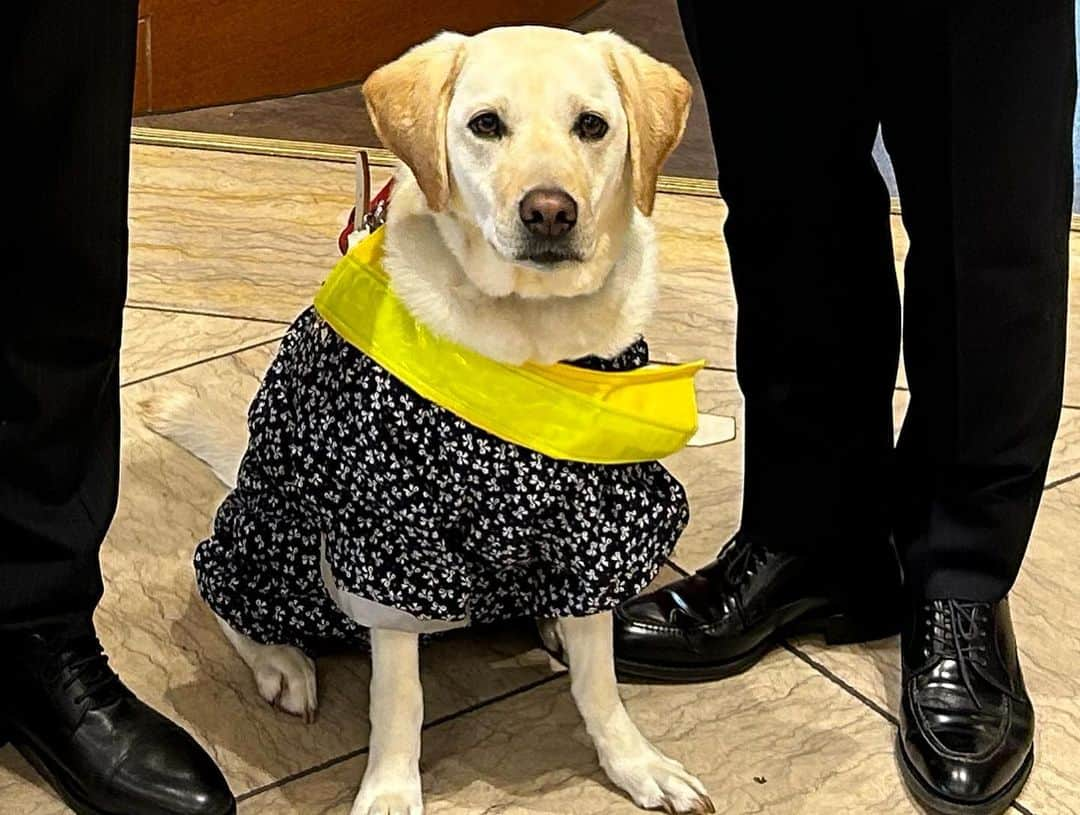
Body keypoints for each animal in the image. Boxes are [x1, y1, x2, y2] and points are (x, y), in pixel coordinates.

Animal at [150, 25, 708, 815]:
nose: (550, 211)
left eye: (593, 126)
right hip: (271, 529)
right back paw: (282, 662)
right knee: (226, 595)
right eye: (486, 124)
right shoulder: (390, 540)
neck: (528, 333)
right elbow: (400, 697)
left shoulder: (600, 517)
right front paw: (390, 788)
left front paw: (636, 762)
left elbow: (600, 680)